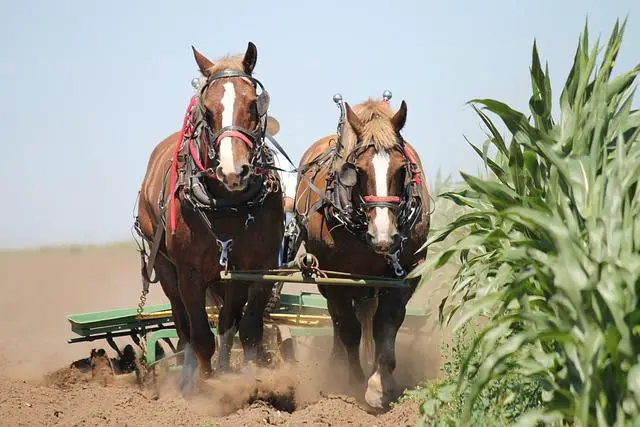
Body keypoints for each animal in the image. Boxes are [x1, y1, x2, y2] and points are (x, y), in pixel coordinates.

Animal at [136, 41, 284, 392]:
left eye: (253, 104)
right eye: (207, 110)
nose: (233, 171)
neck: (227, 203)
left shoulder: (257, 267)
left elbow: (248, 330)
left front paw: (250, 381)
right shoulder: (189, 273)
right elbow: (201, 336)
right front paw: (205, 388)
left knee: (228, 322)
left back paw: (226, 368)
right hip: (165, 267)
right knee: (183, 326)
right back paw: (189, 376)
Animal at [292, 96, 432, 408]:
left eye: (401, 169)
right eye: (358, 171)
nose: (383, 237)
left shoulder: (407, 272)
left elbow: (386, 323)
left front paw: (380, 384)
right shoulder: (335, 276)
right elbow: (349, 329)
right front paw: (354, 381)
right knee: (338, 321)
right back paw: (337, 364)